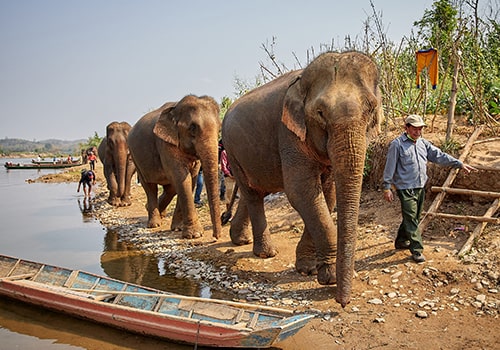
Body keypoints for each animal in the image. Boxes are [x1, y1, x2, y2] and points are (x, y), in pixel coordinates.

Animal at [128, 94, 222, 239]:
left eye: (219, 128)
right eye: (192, 128)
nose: (216, 237)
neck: (176, 108)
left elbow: (191, 178)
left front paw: (178, 228)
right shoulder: (164, 143)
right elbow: (182, 178)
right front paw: (194, 235)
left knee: (170, 189)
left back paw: (153, 211)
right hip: (136, 157)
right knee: (150, 186)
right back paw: (154, 223)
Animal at [221, 51, 380, 306]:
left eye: (371, 109)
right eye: (320, 113)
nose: (342, 302)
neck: (303, 78)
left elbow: (327, 194)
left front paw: (307, 269)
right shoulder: (288, 132)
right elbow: (301, 192)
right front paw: (329, 276)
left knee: (252, 191)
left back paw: (240, 240)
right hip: (232, 151)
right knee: (252, 193)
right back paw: (266, 253)